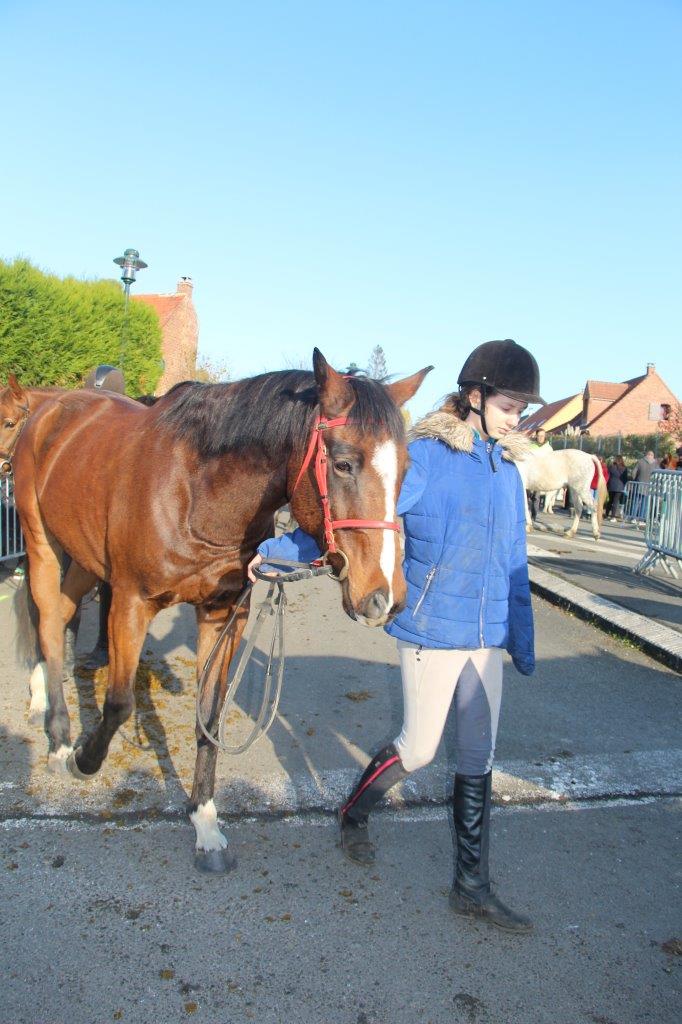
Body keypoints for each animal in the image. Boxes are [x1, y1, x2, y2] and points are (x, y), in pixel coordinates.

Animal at [7, 354, 428, 872]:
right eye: (344, 463)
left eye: (406, 469)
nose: (384, 597)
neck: (195, 492)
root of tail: (51, 408)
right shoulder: (130, 602)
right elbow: (120, 703)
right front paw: (85, 759)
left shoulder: (223, 613)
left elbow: (210, 715)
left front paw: (204, 820)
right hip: (42, 542)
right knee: (46, 617)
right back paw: (59, 735)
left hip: (85, 557)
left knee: (62, 611)